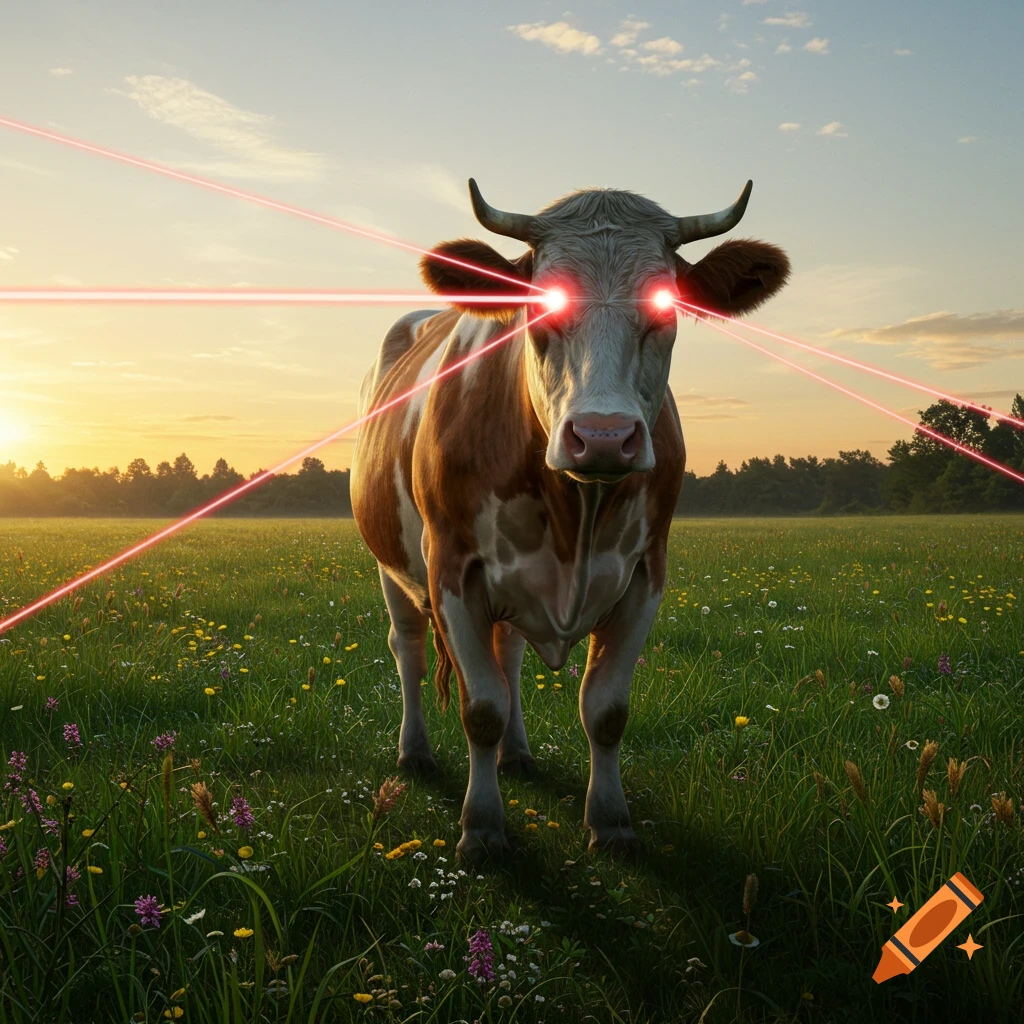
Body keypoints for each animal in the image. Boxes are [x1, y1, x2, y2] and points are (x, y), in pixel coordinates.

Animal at [350, 179, 789, 859]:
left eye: (666, 308)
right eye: (541, 307)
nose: (604, 436)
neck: (573, 517)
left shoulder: (646, 574)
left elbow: (604, 712)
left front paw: (610, 821)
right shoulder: (451, 568)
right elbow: (480, 709)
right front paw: (482, 829)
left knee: (508, 657)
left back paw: (517, 755)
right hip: (392, 566)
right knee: (410, 652)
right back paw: (415, 752)